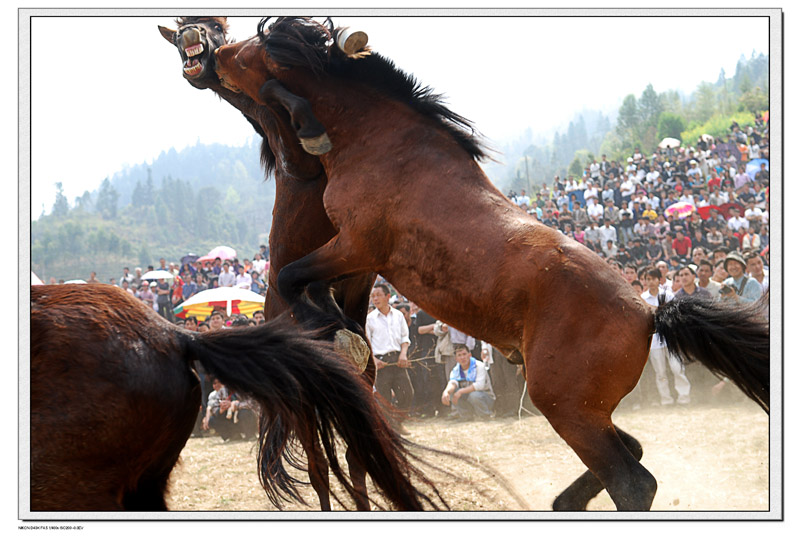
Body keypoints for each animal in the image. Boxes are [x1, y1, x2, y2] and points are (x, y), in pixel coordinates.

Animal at [212, 16, 768, 510]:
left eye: (249, 51)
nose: (216, 52)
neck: (379, 143)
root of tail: (651, 311)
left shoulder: (357, 245)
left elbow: (292, 275)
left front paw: (329, 326)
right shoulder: (355, 258)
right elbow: (307, 283)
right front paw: (337, 330)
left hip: (567, 406)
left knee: (632, 482)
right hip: (588, 410)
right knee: (630, 453)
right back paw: (565, 501)